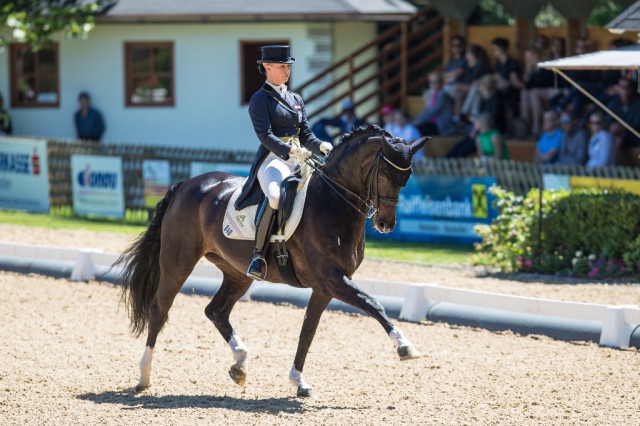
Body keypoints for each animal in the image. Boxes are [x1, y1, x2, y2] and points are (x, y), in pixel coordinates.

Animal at [117, 125, 428, 398]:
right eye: (385, 174)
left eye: (407, 178)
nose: (385, 224)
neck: (332, 201)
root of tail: (187, 184)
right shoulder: (332, 278)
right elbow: (372, 303)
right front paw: (405, 346)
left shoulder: (325, 287)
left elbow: (307, 332)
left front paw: (299, 382)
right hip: (177, 262)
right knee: (159, 310)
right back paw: (144, 376)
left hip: (238, 272)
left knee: (216, 310)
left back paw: (240, 364)